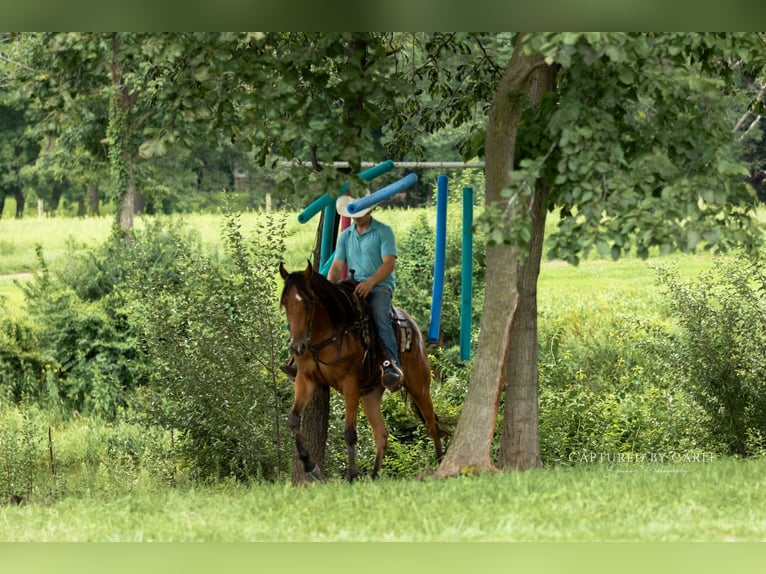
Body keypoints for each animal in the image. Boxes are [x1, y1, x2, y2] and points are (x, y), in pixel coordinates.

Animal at [279, 261, 444, 481]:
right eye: (285, 303)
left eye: (308, 302)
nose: (297, 347)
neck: (328, 333)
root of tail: (414, 328)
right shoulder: (306, 380)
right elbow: (293, 419)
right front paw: (310, 466)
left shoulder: (350, 384)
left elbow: (349, 432)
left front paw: (352, 476)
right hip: (371, 393)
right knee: (382, 434)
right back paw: (374, 477)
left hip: (419, 385)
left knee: (432, 424)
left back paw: (441, 463)